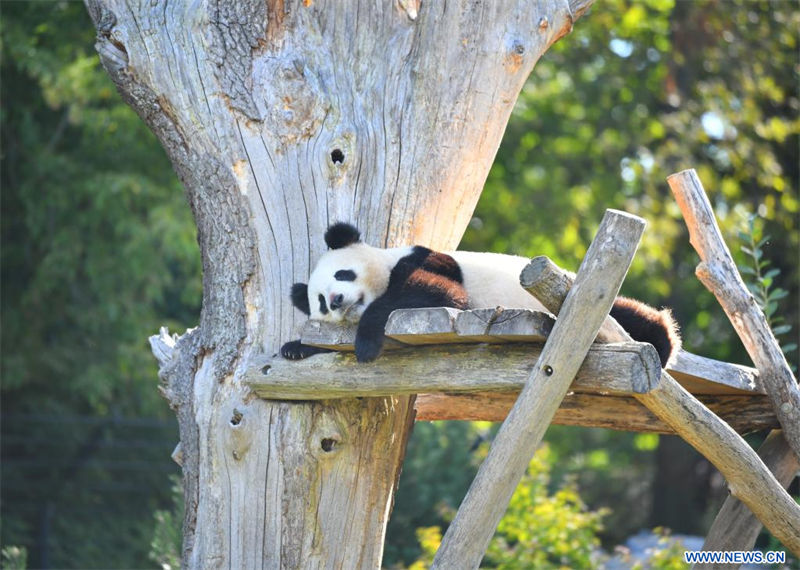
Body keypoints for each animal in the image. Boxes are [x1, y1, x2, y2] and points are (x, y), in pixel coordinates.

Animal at [282, 222, 680, 364]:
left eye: (343, 273)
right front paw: (295, 347)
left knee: (631, 315)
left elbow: (439, 293)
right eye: (320, 302)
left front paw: (366, 343)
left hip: (585, 297)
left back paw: (662, 338)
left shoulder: (427, 259)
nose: (337, 300)